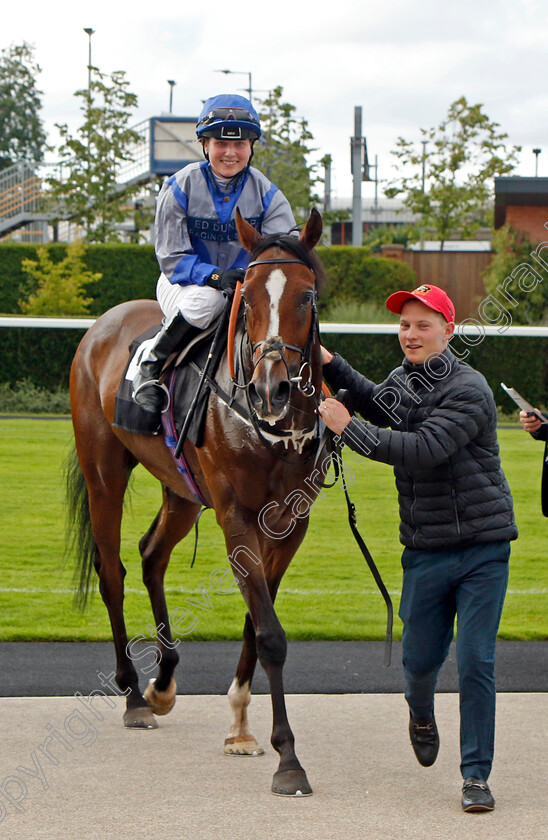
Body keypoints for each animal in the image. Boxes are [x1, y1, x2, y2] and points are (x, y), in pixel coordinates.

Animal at [65, 207, 330, 796]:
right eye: (246, 300)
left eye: (307, 296)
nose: (272, 389)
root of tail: (102, 325)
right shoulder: (236, 517)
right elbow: (270, 633)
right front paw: (289, 758)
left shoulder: (289, 525)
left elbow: (258, 621)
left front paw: (240, 728)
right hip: (103, 474)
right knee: (112, 570)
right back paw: (134, 695)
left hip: (181, 491)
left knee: (151, 556)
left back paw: (162, 682)